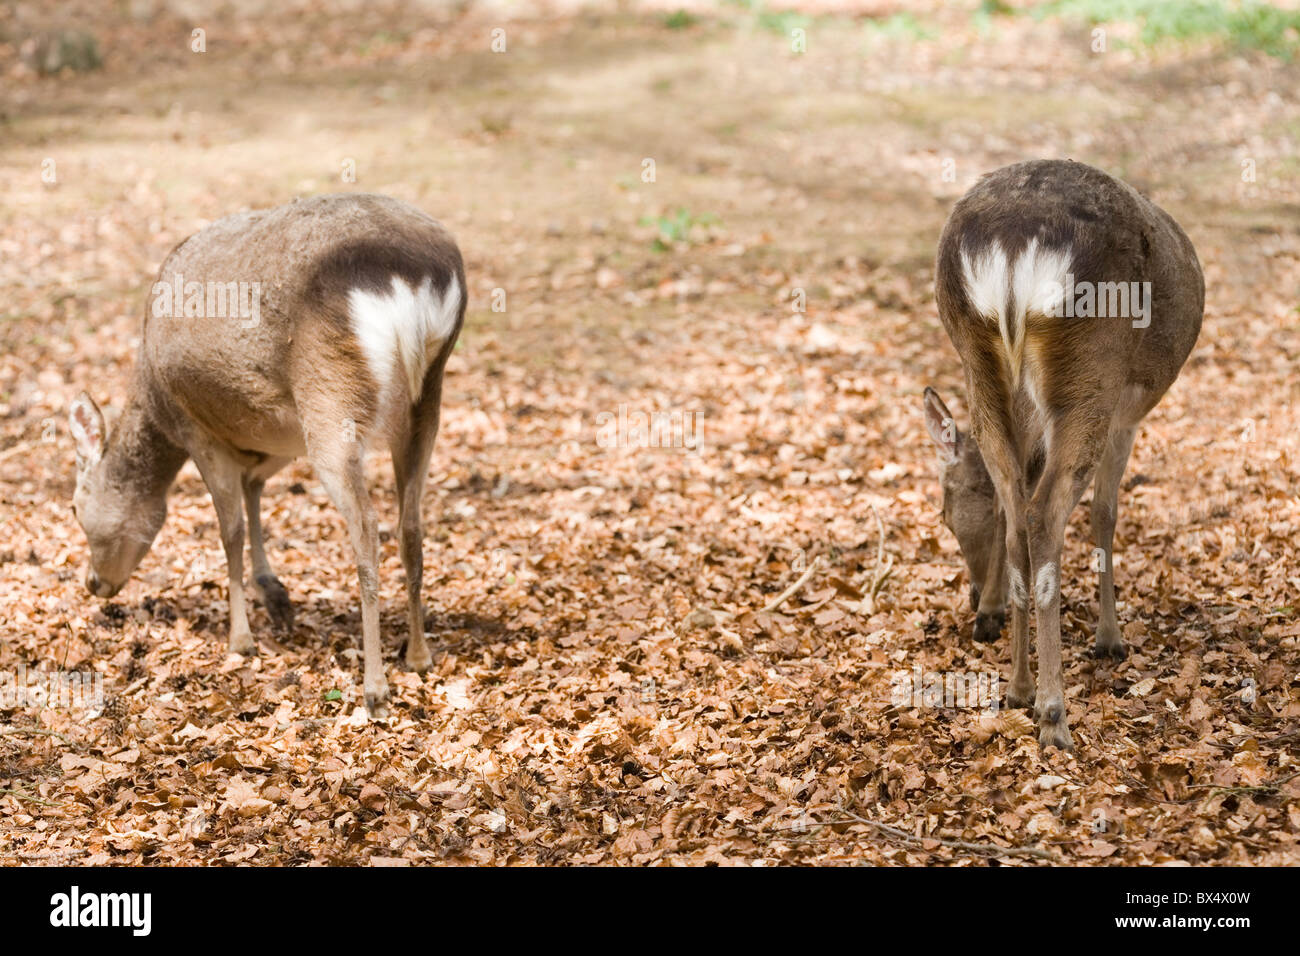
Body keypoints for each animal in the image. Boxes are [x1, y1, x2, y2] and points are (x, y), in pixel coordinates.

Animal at [68, 196, 467, 717]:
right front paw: (275, 593)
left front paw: (241, 639)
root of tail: (415, 277)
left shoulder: (197, 429)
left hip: (330, 399)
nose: (93, 583)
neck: (154, 402)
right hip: (425, 403)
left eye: (75, 508)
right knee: (411, 526)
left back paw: (374, 688)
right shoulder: (276, 434)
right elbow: (254, 488)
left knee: (366, 528)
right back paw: (418, 655)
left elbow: (230, 529)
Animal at [920, 160, 1201, 749]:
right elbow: (1105, 513)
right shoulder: (1125, 415)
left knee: (1017, 512)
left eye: (944, 516)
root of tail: (1009, 249)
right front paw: (1109, 637)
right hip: (1091, 372)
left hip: (979, 363)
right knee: (1045, 514)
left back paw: (1018, 688)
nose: (977, 603)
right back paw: (1053, 713)